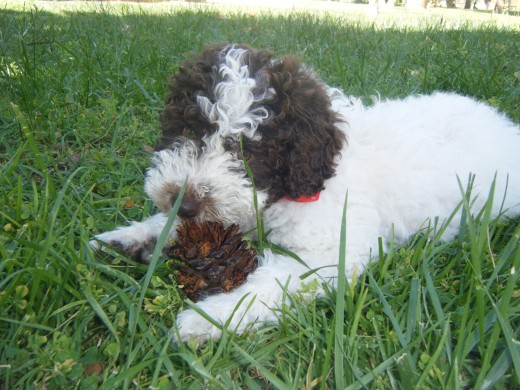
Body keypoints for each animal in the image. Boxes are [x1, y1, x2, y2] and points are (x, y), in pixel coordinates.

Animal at [91, 43, 520, 342]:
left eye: (249, 151)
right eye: (190, 130)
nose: (185, 202)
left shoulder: (328, 253)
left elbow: (267, 284)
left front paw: (210, 317)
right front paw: (127, 238)